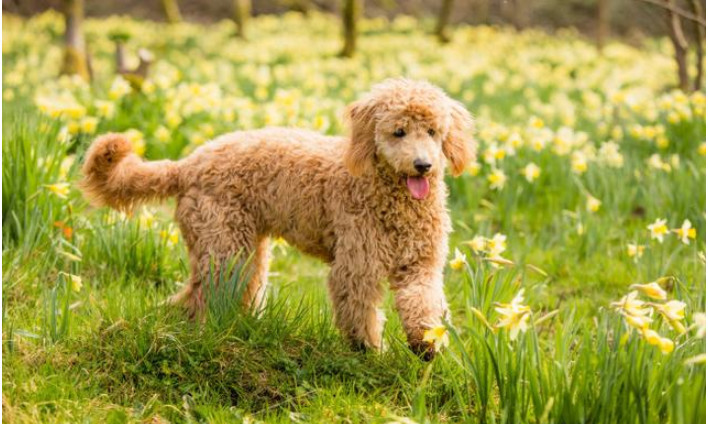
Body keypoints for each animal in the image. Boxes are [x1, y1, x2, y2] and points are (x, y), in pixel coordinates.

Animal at [81, 78, 476, 354]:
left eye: (432, 131)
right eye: (398, 132)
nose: (423, 165)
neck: (392, 199)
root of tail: (188, 164)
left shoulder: (421, 263)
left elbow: (423, 301)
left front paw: (426, 344)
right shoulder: (356, 267)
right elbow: (360, 313)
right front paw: (368, 351)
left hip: (246, 250)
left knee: (220, 293)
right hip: (224, 246)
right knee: (198, 296)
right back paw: (195, 332)